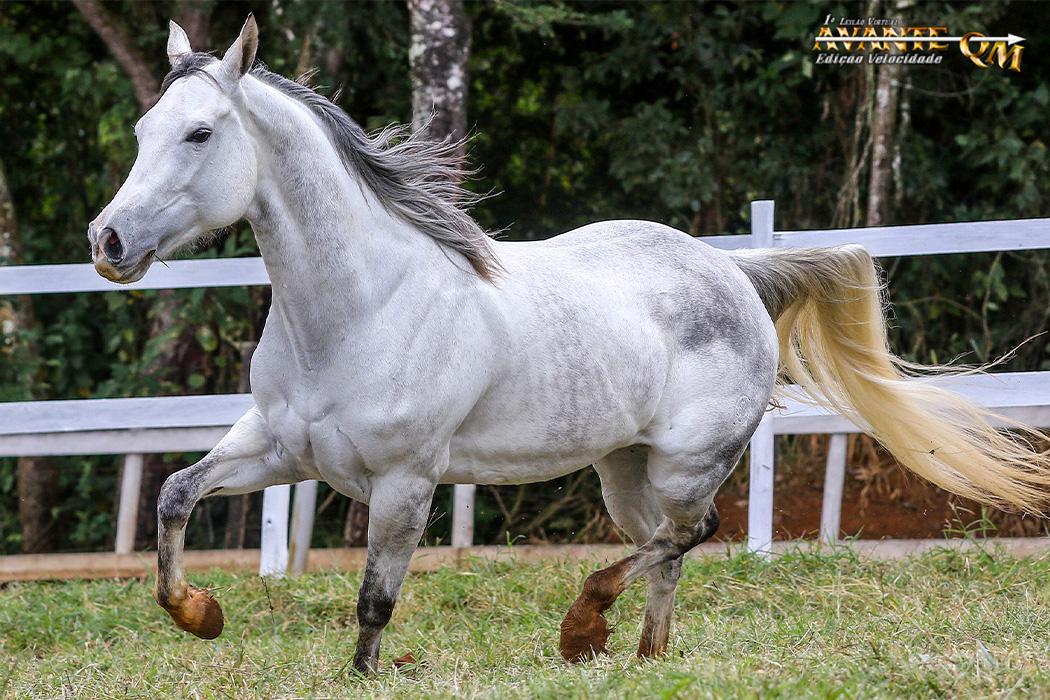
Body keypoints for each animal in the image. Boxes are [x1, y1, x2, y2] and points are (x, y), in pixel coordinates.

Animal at [88, 17, 1050, 671]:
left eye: (200, 133)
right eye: (139, 131)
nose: (108, 242)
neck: (361, 307)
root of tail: (734, 272)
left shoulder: (404, 483)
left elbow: (373, 604)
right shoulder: (281, 449)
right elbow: (174, 496)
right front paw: (201, 613)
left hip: (687, 462)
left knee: (691, 532)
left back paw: (585, 626)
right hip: (624, 471)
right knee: (668, 549)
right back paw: (646, 655)